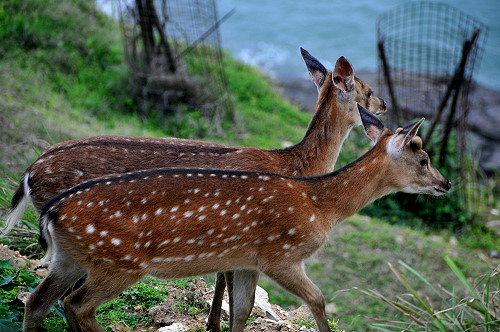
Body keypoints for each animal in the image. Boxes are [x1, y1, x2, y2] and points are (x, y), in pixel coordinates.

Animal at [3, 49, 384, 332]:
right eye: (365, 89)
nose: (382, 107)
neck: (297, 167)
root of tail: (29, 173)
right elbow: (226, 282)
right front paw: (214, 325)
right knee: (67, 299)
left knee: (47, 297)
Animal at [22, 105, 450, 332]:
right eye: (424, 159)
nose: (446, 184)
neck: (320, 206)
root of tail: (49, 212)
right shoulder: (281, 255)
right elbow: (318, 298)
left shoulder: (247, 261)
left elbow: (241, 310)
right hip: (117, 262)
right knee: (77, 304)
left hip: (70, 258)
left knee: (37, 300)